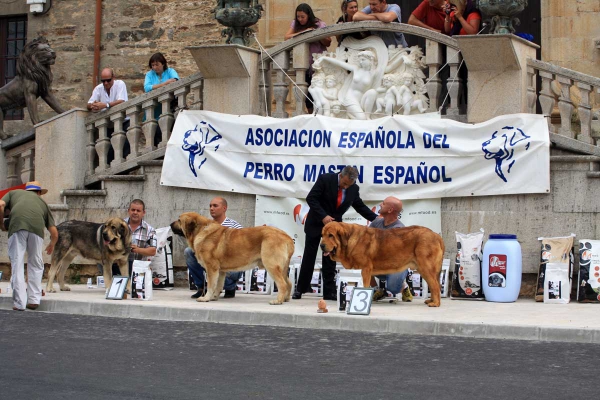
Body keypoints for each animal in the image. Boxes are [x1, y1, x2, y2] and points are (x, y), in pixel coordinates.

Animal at [318, 222, 446, 306]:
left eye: (331, 235)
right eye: (322, 235)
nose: (321, 245)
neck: (348, 240)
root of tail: (436, 235)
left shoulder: (365, 269)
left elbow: (364, 286)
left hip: (426, 268)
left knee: (435, 286)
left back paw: (435, 303)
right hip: (423, 269)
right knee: (433, 285)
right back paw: (431, 301)